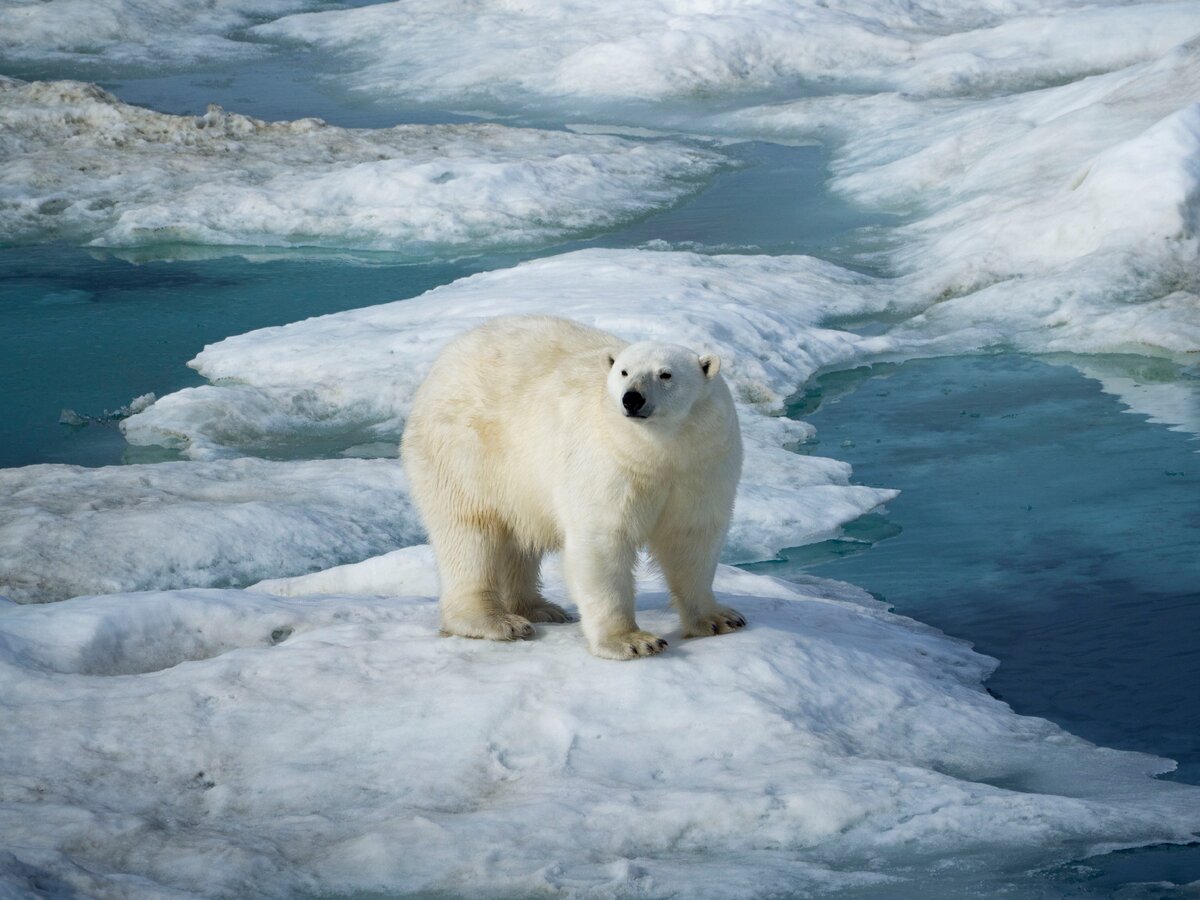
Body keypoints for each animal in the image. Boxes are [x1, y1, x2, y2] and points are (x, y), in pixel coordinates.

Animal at [403, 316, 739, 662]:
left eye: (666, 374)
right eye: (624, 372)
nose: (632, 398)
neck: (659, 450)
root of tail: (443, 362)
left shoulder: (701, 463)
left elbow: (692, 537)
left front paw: (719, 619)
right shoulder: (610, 464)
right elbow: (604, 541)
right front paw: (632, 641)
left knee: (516, 540)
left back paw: (540, 608)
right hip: (466, 451)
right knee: (470, 533)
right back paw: (497, 620)